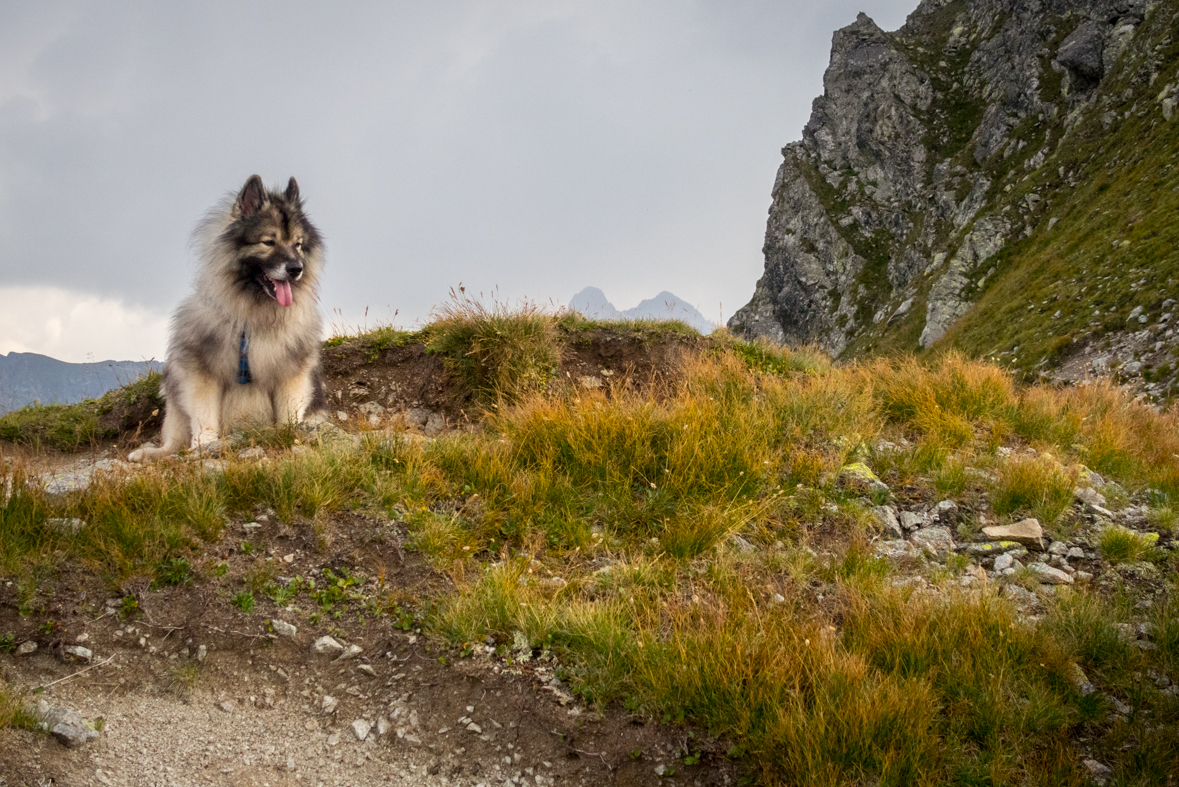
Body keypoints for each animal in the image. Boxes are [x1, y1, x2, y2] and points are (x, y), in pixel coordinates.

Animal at [129, 173, 327, 461]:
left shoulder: (291, 373)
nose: (296, 269)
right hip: (175, 399)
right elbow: (204, 415)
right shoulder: (202, 373)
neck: (252, 316)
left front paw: (290, 436)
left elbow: (289, 411)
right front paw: (204, 445)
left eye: (298, 245)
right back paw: (149, 454)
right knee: (174, 443)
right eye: (269, 242)